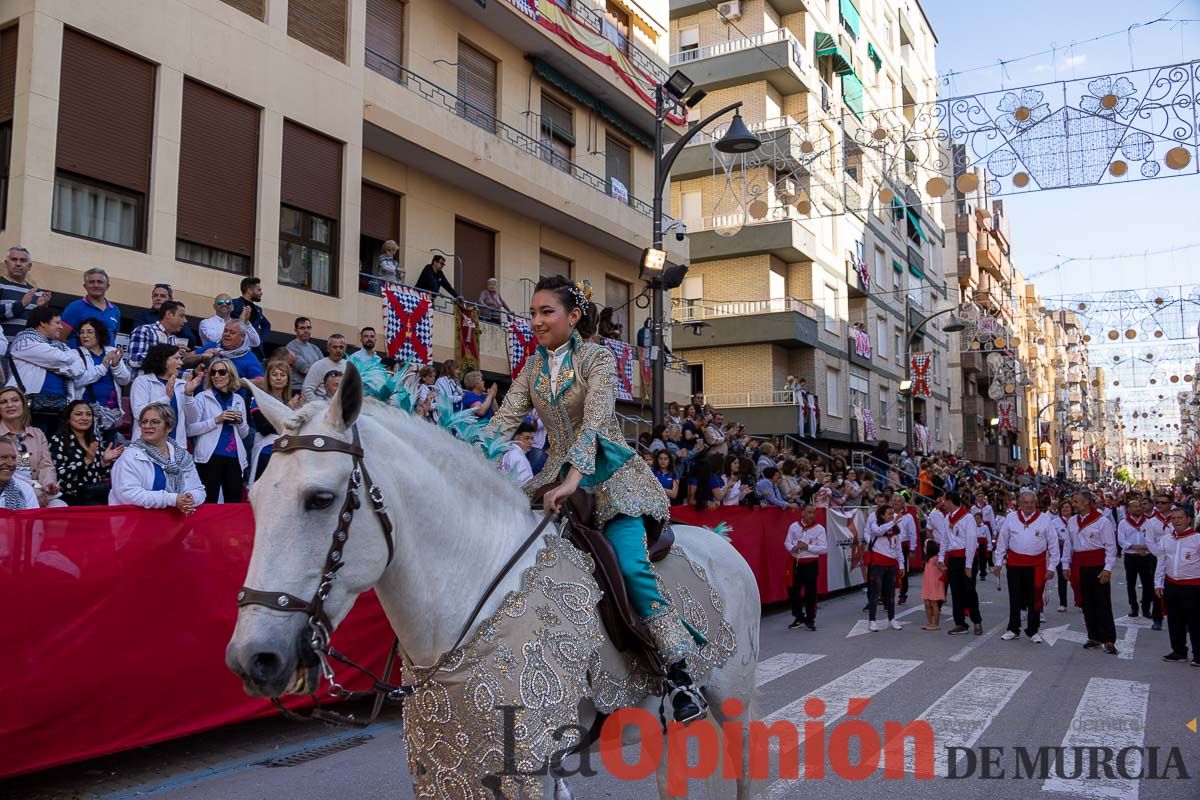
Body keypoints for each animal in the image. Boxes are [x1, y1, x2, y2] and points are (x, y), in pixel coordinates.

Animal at [226, 371, 758, 800]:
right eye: (253, 497)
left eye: (319, 499)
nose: (254, 657)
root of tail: (722, 541)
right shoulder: (450, 762)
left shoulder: (529, 764)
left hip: (735, 697)